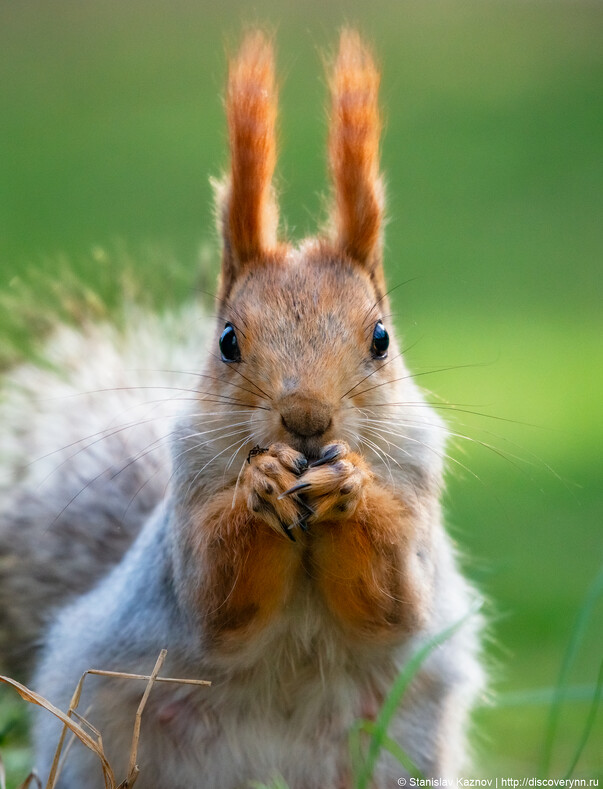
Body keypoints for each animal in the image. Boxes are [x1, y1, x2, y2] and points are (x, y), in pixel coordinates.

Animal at [0, 29, 484, 788]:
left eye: (380, 337)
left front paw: (349, 483)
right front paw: (261, 483)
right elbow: (216, 597)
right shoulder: (188, 510)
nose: (307, 418)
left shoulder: (416, 490)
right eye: (227, 340)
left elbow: (392, 602)